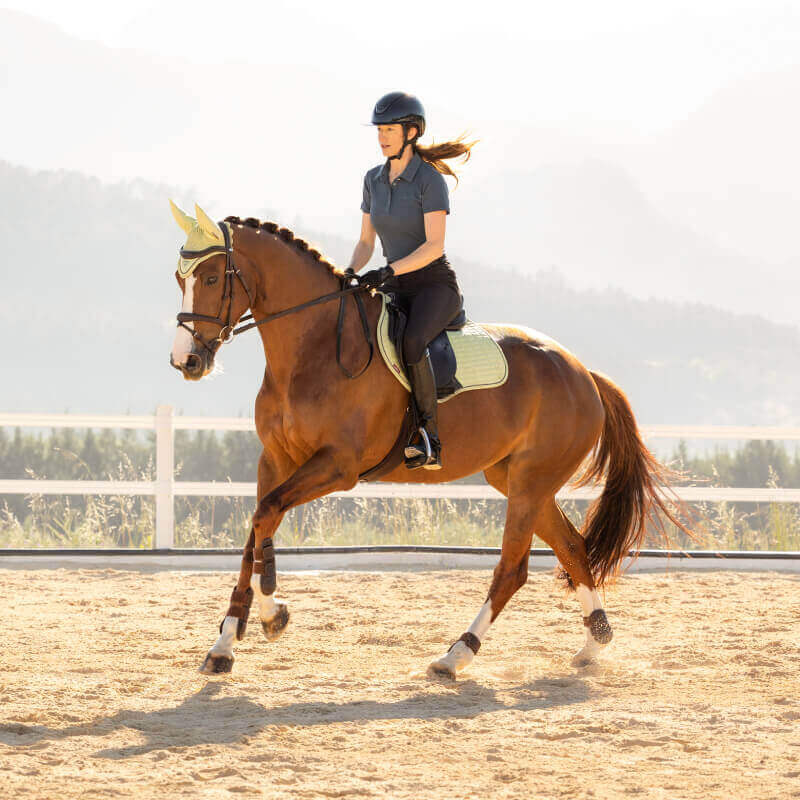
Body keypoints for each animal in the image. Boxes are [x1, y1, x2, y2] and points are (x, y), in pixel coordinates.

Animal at [168, 201, 686, 678]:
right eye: (180, 278)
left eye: (211, 278)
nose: (186, 362)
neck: (312, 348)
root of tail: (584, 373)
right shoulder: (274, 460)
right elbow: (257, 527)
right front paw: (228, 641)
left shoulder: (338, 466)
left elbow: (266, 515)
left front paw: (270, 613)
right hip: (519, 481)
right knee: (573, 548)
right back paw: (594, 644)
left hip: (531, 484)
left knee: (512, 570)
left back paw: (455, 655)